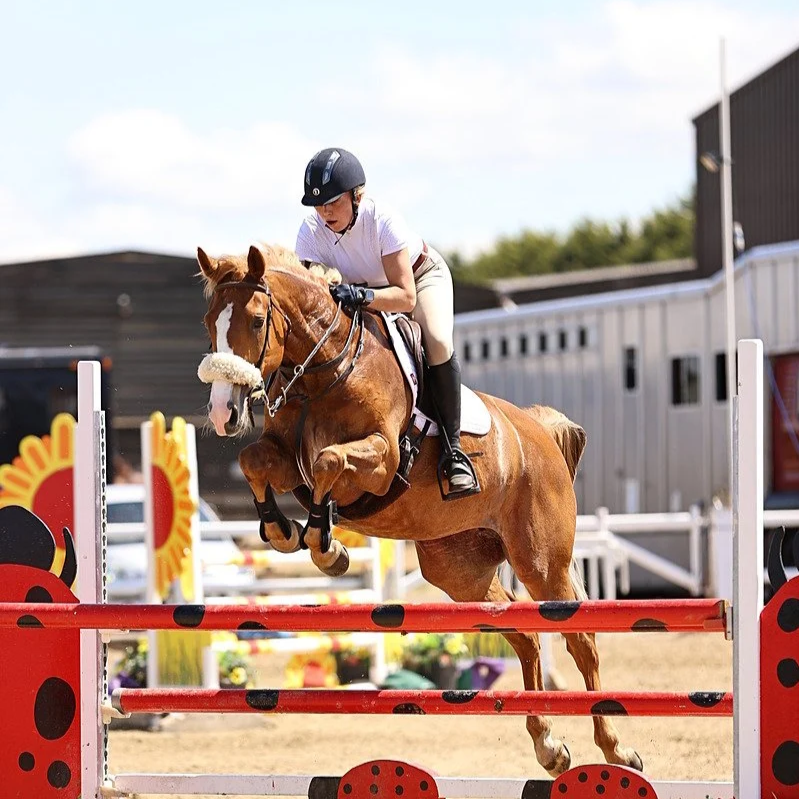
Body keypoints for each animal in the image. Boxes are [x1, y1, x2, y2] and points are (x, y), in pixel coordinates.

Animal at [195, 242, 642, 777]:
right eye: (210, 321)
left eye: (258, 320)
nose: (223, 413)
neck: (326, 371)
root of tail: (537, 430)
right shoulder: (286, 459)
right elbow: (253, 459)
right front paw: (283, 529)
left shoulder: (381, 460)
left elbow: (329, 462)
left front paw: (327, 547)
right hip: (460, 571)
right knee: (524, 636)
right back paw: (548, 745)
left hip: (541, 561)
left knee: (581, 641)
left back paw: (617, 749)